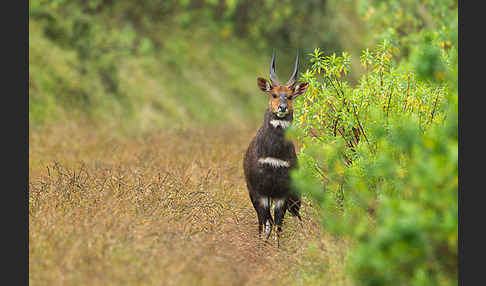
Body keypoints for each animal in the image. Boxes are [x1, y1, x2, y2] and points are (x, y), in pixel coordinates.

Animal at [242, 50, 308, 247]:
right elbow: (265, 223)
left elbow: (278, 224)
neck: (273, 156)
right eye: (274, 94)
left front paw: (277, 249)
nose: (282, 108)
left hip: (295, 197)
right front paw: (262, 247)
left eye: (291, 96)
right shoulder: (259, 191)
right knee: (265, 221)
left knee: (293, 217)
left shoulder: (282, 193)